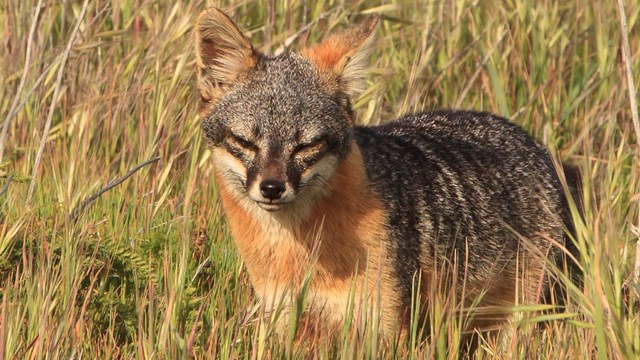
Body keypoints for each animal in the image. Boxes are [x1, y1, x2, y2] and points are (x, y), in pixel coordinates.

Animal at [192, 7, 584, 340]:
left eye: (306, 145)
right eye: (245, 141)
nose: (272, 188)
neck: (296, 252)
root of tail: (534, 143)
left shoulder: (383, 325)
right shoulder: (288, 319)